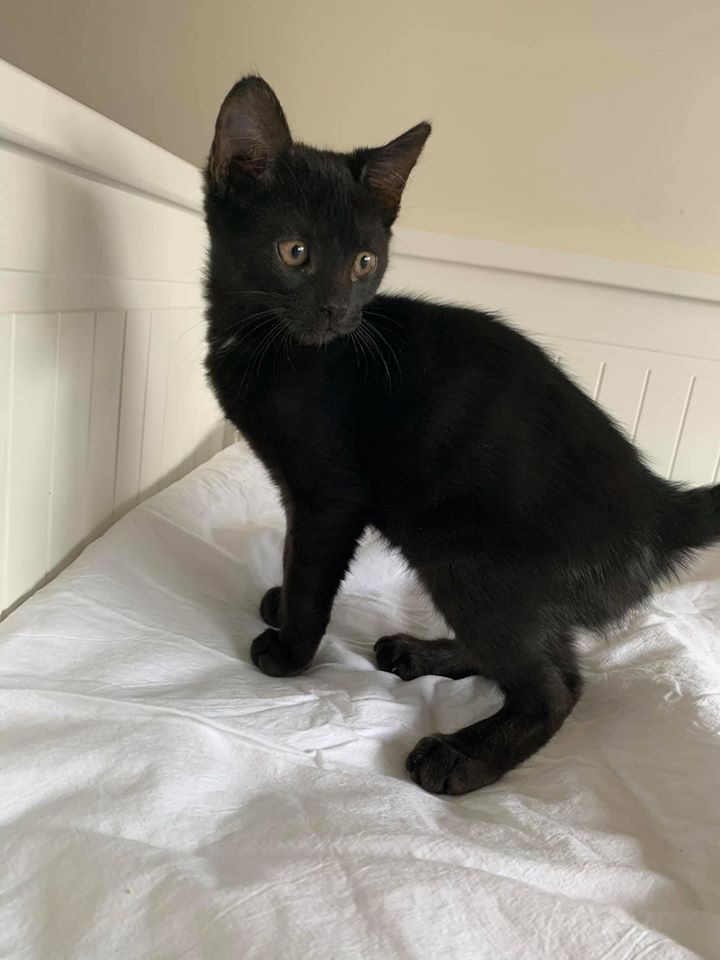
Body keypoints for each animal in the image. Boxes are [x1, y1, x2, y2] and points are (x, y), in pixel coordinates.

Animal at [203, 75, 720, 795]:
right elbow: (291, 551)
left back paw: (462, 756)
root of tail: (661, 507)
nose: (338, 311)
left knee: (555, 684)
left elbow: (311, 568)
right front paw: (280, 602)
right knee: (535, 651)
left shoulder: (331, 496)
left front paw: (290, 647)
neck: (264, 341)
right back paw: (423, 653)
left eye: (364, 262)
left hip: (465, 558)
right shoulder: (296, 492)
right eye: (295, 252)